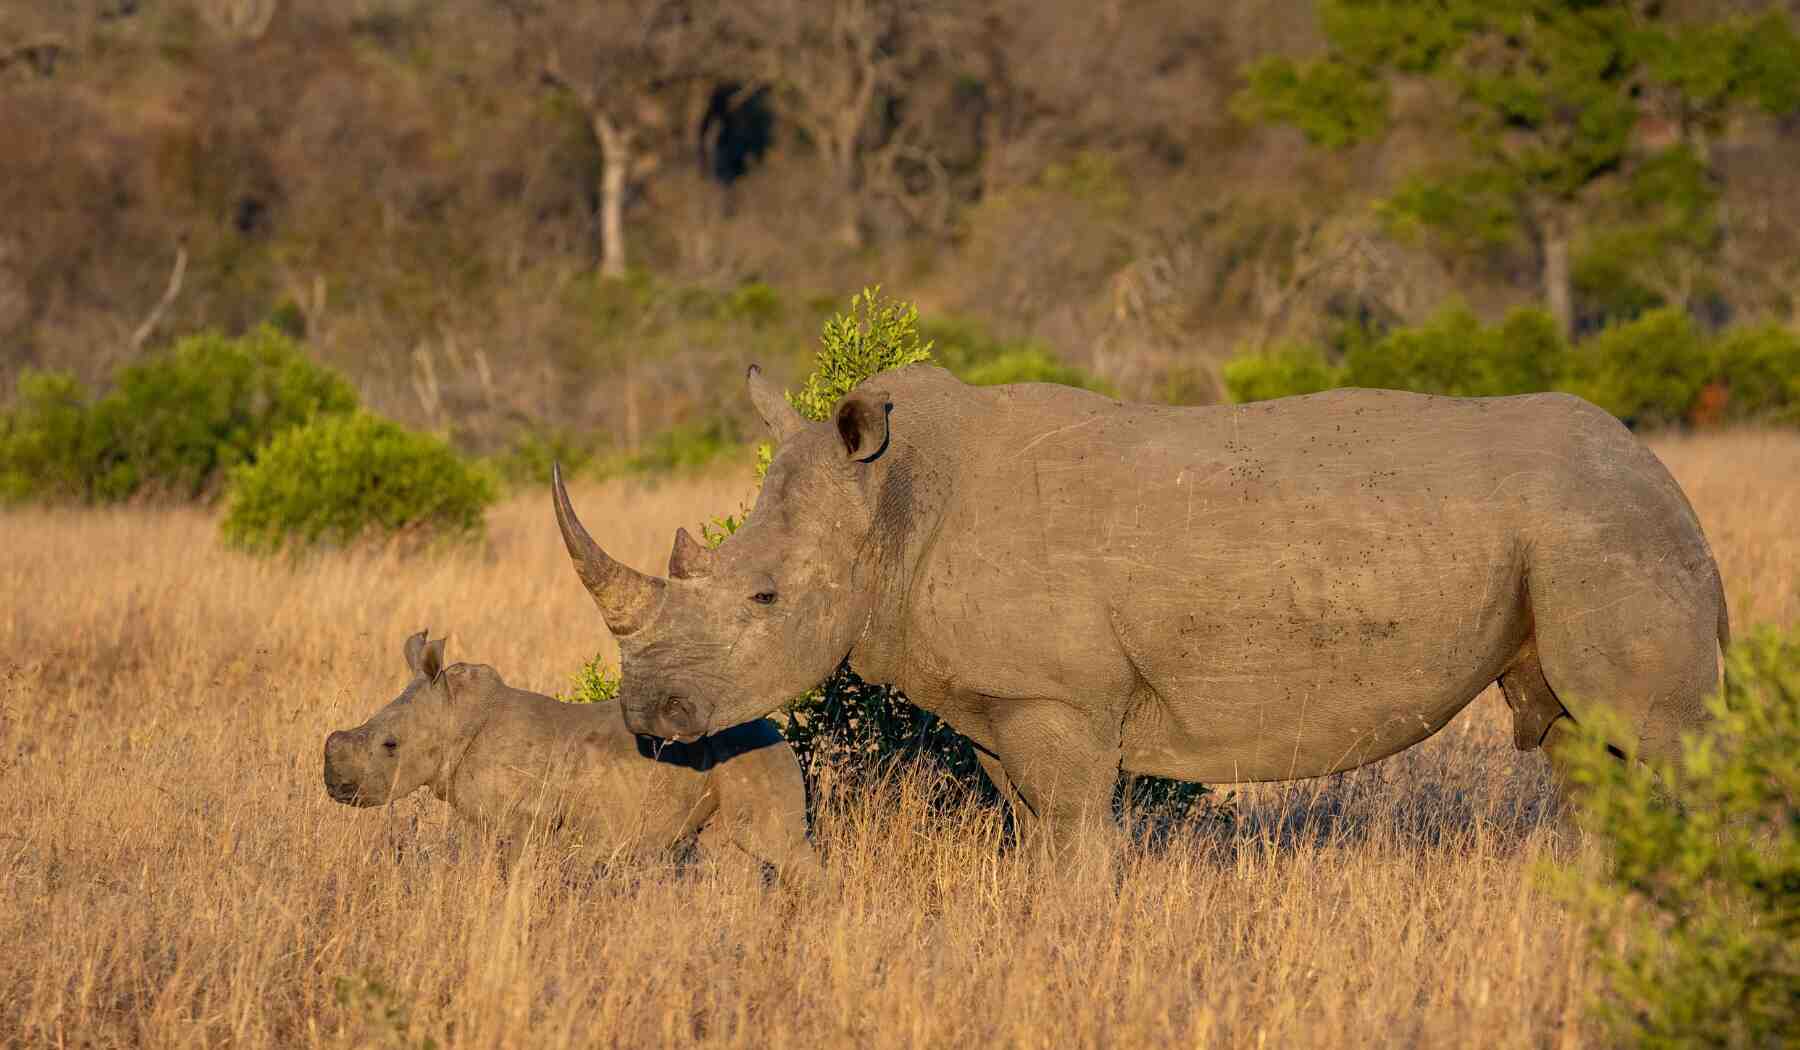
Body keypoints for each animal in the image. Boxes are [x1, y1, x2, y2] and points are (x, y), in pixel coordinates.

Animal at [327, 633, 820, 886]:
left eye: (390, 746)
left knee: (775, 844)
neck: (456, 715)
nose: (335, 786)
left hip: (753, 754)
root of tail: (770, 724)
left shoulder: (526, 819)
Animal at [550, 365, 1728, 850]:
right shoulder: (1006, 704)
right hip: (1583, 527)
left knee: (1652, 742)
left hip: (1607, 528)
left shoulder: (1061, 701)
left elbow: (1078, 841)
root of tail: (1658, 467)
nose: (648, 719)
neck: (890, 502)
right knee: (1582, 749)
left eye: (765, 596)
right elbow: (1034, 831)